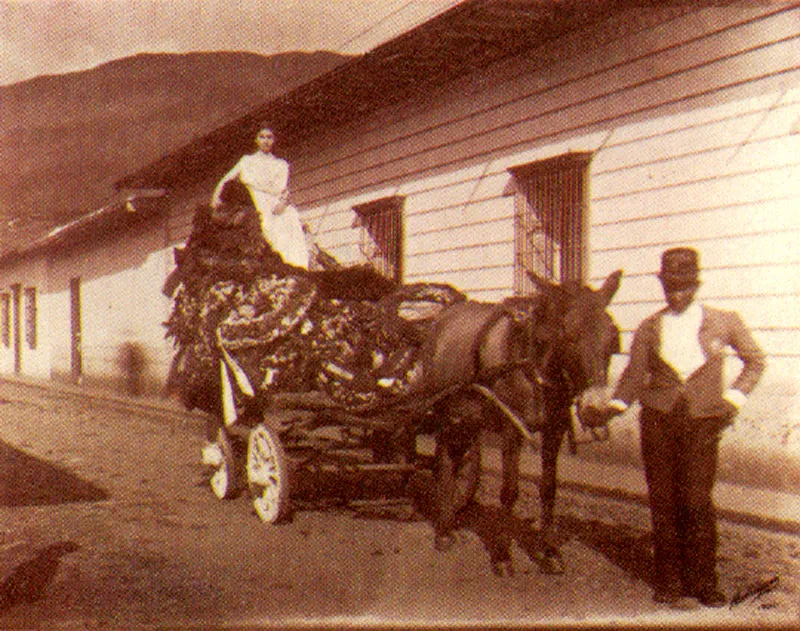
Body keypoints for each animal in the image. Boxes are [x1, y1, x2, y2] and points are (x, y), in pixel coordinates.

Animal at [422, 270, 620, 576]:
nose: (597, 411)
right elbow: (509, 491)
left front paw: (550, 552)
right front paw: (503, 555)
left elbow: (549, 489)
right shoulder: (510, 431)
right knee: (444, 460)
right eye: (568, 334)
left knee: (454, 458)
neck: (532, 366)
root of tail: (442, 318)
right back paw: (443, 531)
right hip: (447, 410)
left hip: (467, 416)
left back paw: (450, 516)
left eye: (613, 336)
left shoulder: (554, 431)